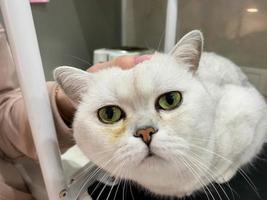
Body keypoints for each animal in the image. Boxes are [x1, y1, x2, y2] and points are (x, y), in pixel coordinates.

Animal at [53, 30, 266, 198]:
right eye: (109, 114)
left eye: (170, 100)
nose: (145, 132)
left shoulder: (248, 112)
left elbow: (237, 158)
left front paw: (222, 174)